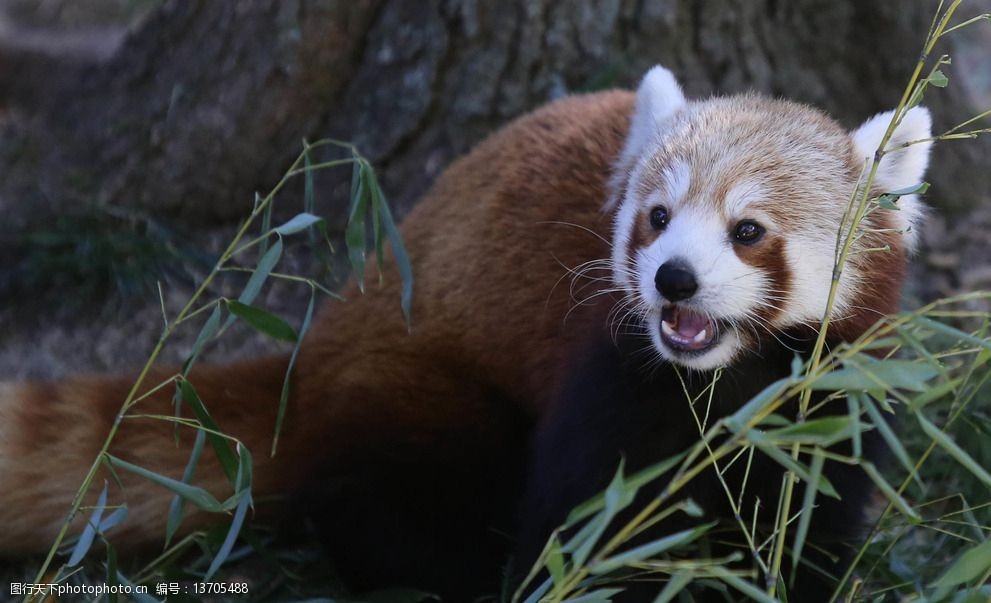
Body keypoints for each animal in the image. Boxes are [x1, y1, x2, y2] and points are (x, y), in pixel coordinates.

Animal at [0, 66, 928, 600]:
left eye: (747, 230)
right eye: (657, 218)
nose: (672, 278)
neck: (724, 381)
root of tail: (312, 358)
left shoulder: (833, 393)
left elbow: (810, 520)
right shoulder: (606, 374)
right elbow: (577, 523)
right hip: (424, 389)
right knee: (389, 498)